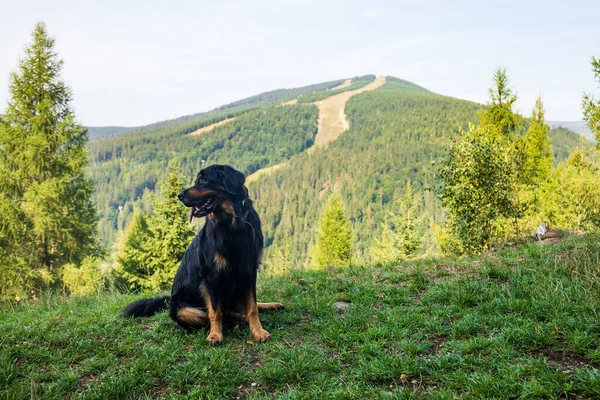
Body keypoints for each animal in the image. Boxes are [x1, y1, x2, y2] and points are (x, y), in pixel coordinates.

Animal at [123, 164, 284, 346]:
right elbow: (215, 311)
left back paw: (268, 306)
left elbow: (252, 307)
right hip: (183, 310)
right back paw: (237, 318)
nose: (179, 195)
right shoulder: (212, 276)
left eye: (203, 180)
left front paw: (258, 331)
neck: (232, 222)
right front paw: (215, 335)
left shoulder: (249, 270)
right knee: (211, 314)